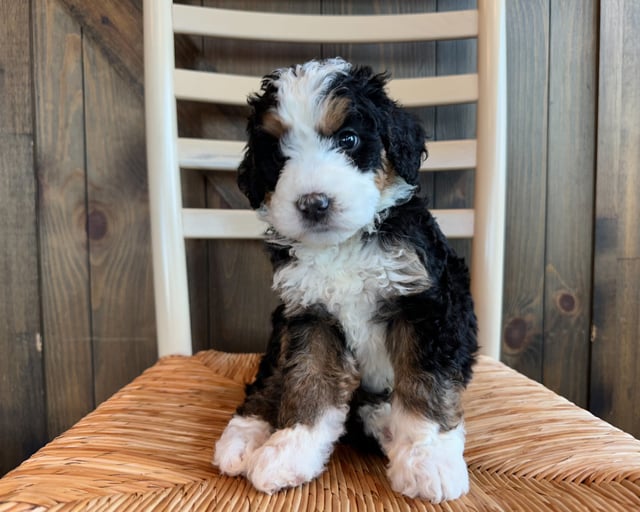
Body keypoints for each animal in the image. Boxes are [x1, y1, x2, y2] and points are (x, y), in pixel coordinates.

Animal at [212, 58, 478, 502]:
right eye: (278, 154)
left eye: (348, 139)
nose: (313, 203)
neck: (344, 244)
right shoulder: (310, 314)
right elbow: (306, 380)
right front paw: (291, 450)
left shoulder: (425, 302)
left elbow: (424, 383)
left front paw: (426, 458)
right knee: (270, 375)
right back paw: (244, 435)